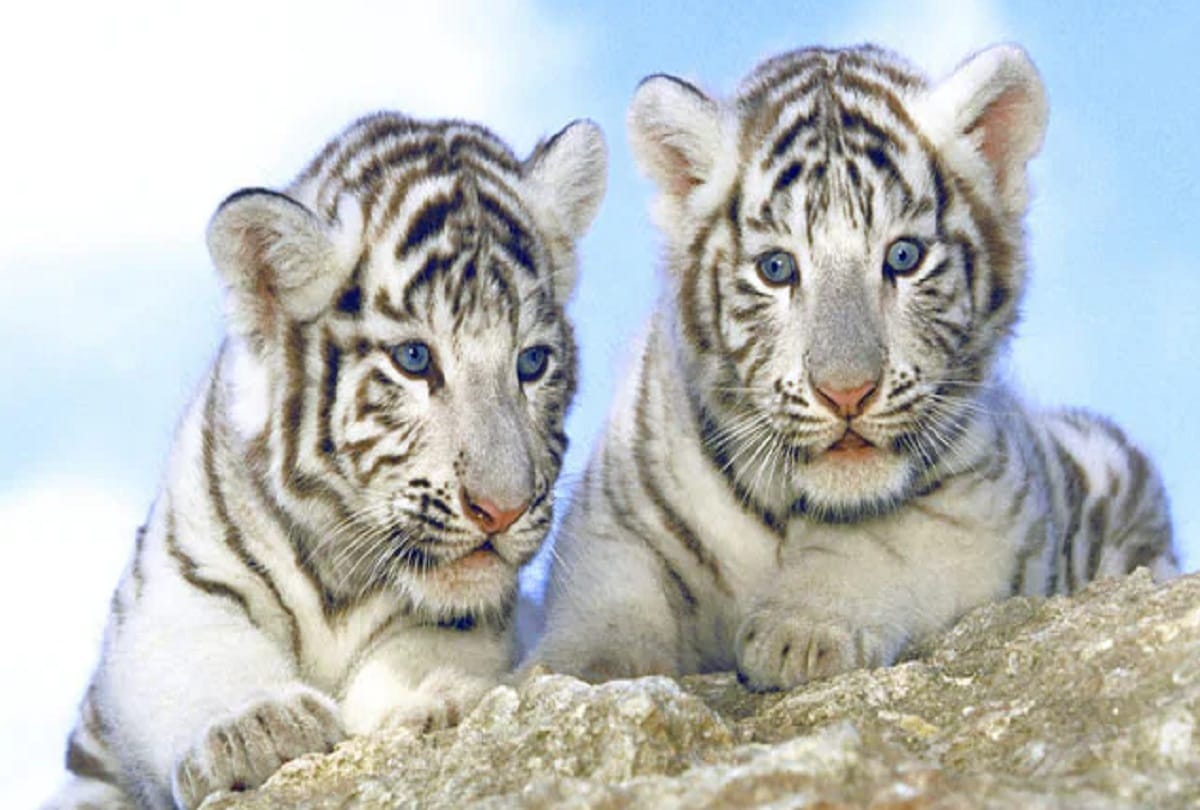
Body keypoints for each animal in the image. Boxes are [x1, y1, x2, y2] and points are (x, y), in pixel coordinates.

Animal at [47, 111, 606, 809]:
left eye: (531, 363)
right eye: (415, 359)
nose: (500, 511)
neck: (342, 575)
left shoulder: (469, 612)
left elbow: (427, 648)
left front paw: (440, 699)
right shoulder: (168, 585)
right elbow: (194, 654)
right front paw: (256, 727)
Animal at [531, 43, 1176, 692]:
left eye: (904, 257)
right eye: (776, 268)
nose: (846, 393)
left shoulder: (988, 507)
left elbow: (884, 541)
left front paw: (803, 629)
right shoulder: (613, 514)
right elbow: (607, 607)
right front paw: (577, 671)